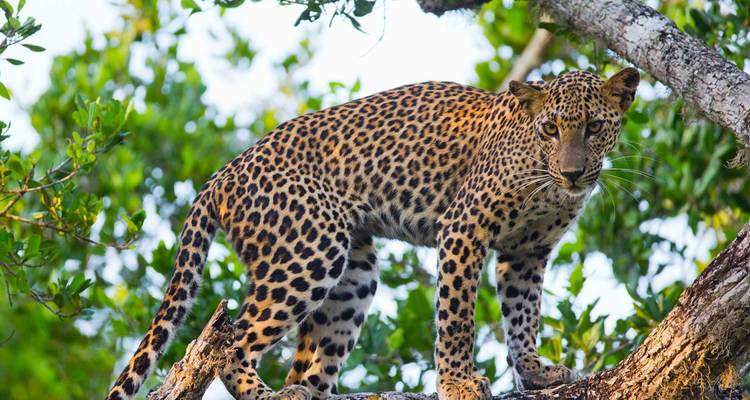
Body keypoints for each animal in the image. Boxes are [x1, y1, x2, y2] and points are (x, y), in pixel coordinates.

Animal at [106, 67, 639, 400]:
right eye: (550, 129)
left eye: (594, 127)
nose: (572, 173)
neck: (546, 182)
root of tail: (222, 173)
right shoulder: (464, 228)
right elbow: (457, 318)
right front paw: (457, 383)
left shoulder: (527, 251)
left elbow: (523, 316)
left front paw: (535, 372)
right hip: (308, 252)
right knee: (231, 340)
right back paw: (262, 392)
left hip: (353, 276)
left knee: (309, 357)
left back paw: (301, 390)